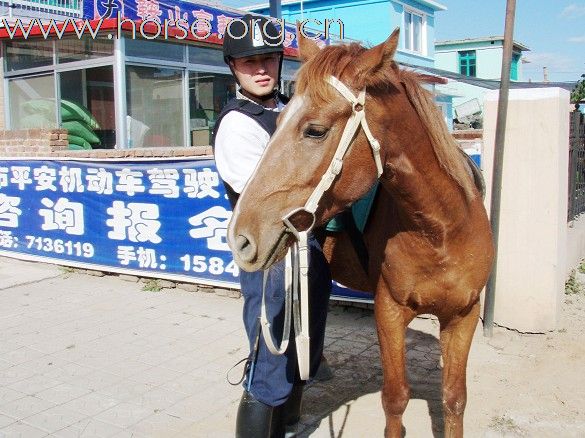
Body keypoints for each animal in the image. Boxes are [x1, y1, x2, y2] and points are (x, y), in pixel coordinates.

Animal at [228, 29, 492, 436]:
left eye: (315, 130)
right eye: (279, 120)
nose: (241, 237)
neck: (441, 231)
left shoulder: (462, 315)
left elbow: (454, 400)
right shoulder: (389, 313)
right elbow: (395, 400)